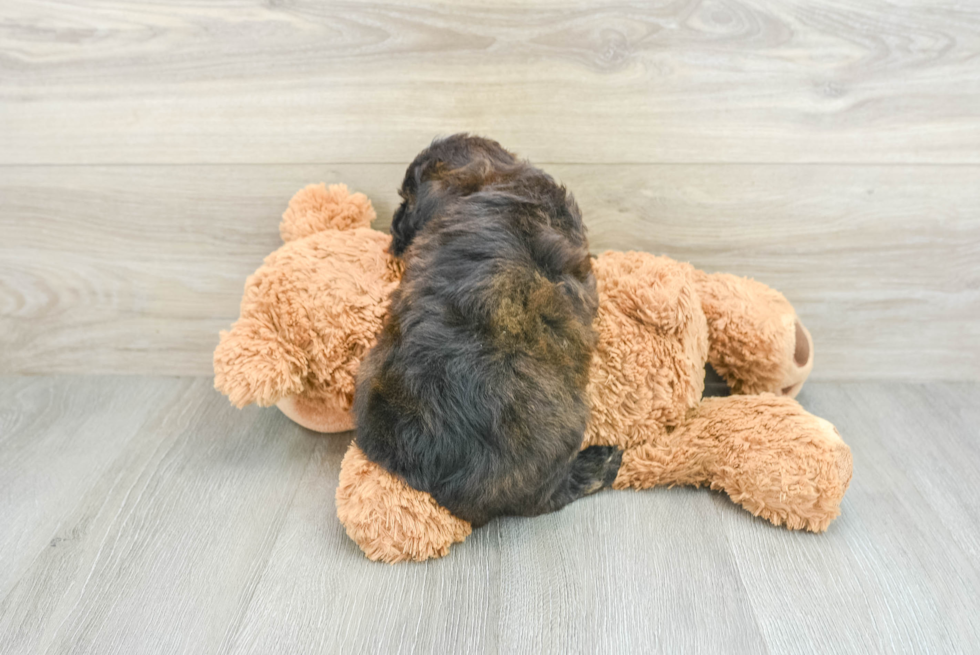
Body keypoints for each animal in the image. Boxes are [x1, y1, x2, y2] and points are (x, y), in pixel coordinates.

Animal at [356, 135, 624, 528]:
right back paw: (600, 463)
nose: (393, 225)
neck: (501, 179)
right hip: (565, 431)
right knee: (550, 497)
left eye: (407, 200)